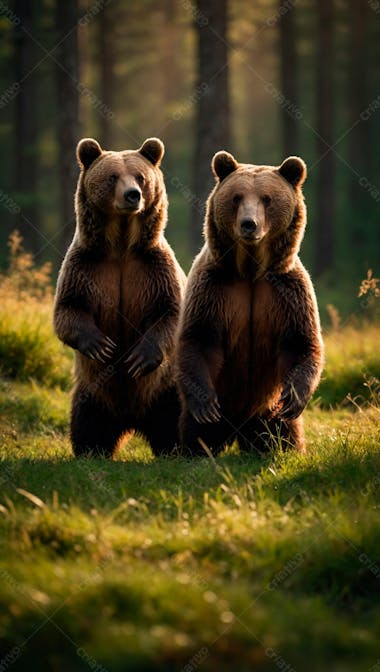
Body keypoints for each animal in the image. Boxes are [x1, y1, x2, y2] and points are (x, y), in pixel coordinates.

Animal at [53, 135, 186, 456]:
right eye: (113, 176)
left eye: (140, 177)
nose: (132, 195)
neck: (122, 247)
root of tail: (131, 421)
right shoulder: (85, 265)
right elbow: (68, 309)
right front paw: (101, 345)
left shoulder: (155, 267)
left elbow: (170, 311)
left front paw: (138, 356)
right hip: (92, 391)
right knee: (87, 422)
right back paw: (92, 450)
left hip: (166, 390)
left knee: (172, 419)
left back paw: (176, 449)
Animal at [175, 151, 324, 456]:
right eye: (236, 197)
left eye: (267, 198)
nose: (249, 224)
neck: (251, 271)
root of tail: (237, 430)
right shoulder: (213, 287)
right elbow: (200, 338)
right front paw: (206, 405)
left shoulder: (288, 290)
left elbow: (300, 341)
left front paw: (294, 398)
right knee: (197, 431)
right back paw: (196, 449)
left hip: (266, 412)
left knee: (281, 430)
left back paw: (283, 448)